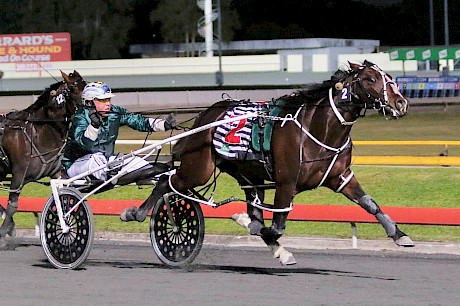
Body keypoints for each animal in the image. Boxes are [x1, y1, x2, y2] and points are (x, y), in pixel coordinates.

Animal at [0, 71, 86, 249]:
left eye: (86, 84)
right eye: (73, 89)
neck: (38, 132)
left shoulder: (57, 172)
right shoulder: (18, 174)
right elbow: (13, 206)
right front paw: (4, 233)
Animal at [121, 60, 414, 266]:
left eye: (389, 77)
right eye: (371, 79)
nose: (401, 103)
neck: (319, 130)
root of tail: (205, 116)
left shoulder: (340, 178)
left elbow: (369, 203)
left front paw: (400, 235)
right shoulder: (286, 181)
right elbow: (276, 226)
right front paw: (244, 220)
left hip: (248, 176)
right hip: (199, 168)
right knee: (167, 181)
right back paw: (137, 212)